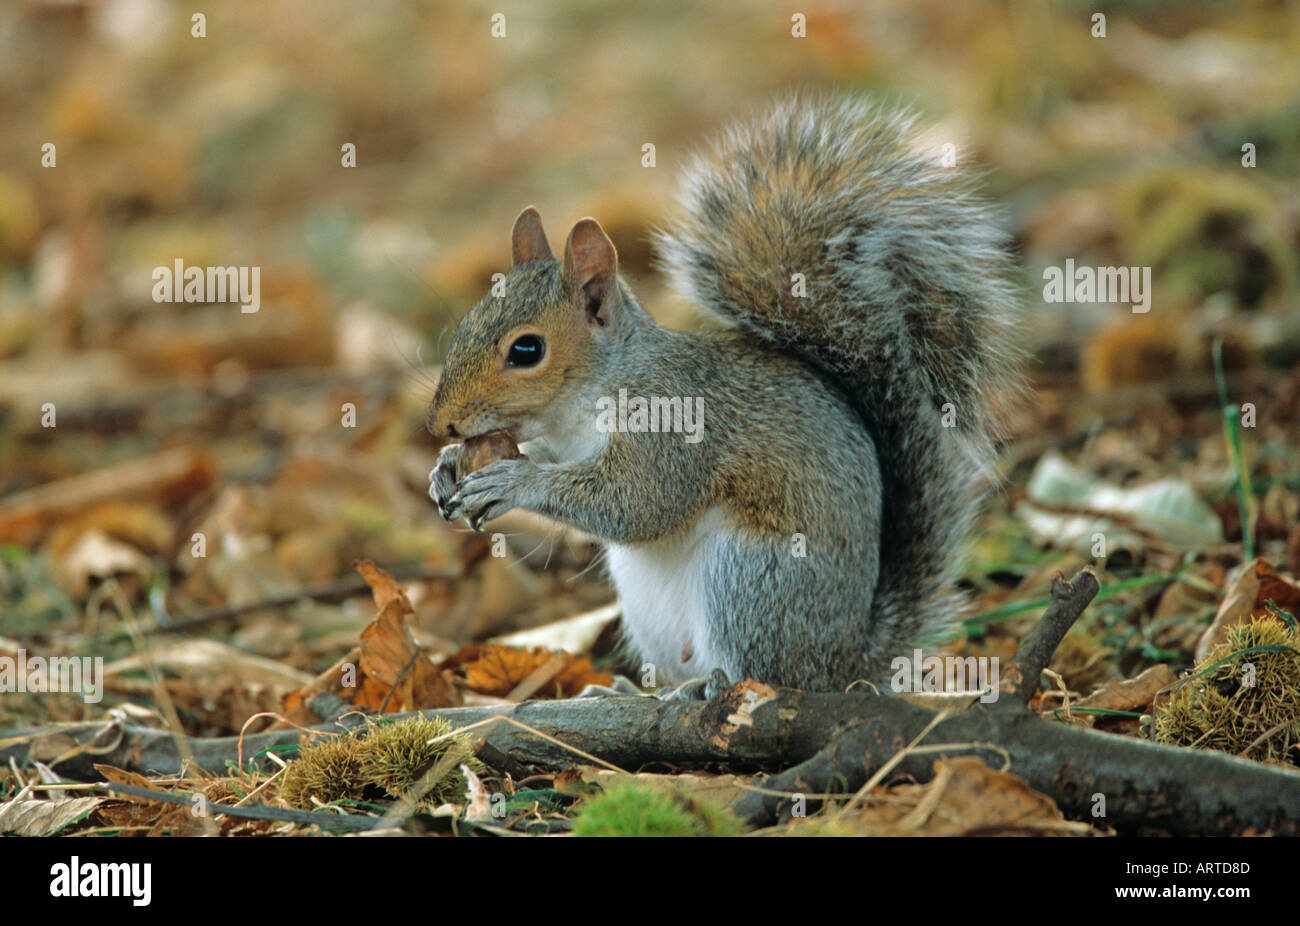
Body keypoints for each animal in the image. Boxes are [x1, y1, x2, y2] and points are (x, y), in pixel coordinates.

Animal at [428, 96, 1023, 695]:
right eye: (466, 324)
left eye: (527, 350)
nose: (441, 425)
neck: (595, 390)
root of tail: (846, 663)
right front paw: (447, 468)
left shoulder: (672, 421)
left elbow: (639, 502)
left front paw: (513, 481)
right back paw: (630, 688)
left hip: (749, 578)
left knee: (760, 674)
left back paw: (701, 689)